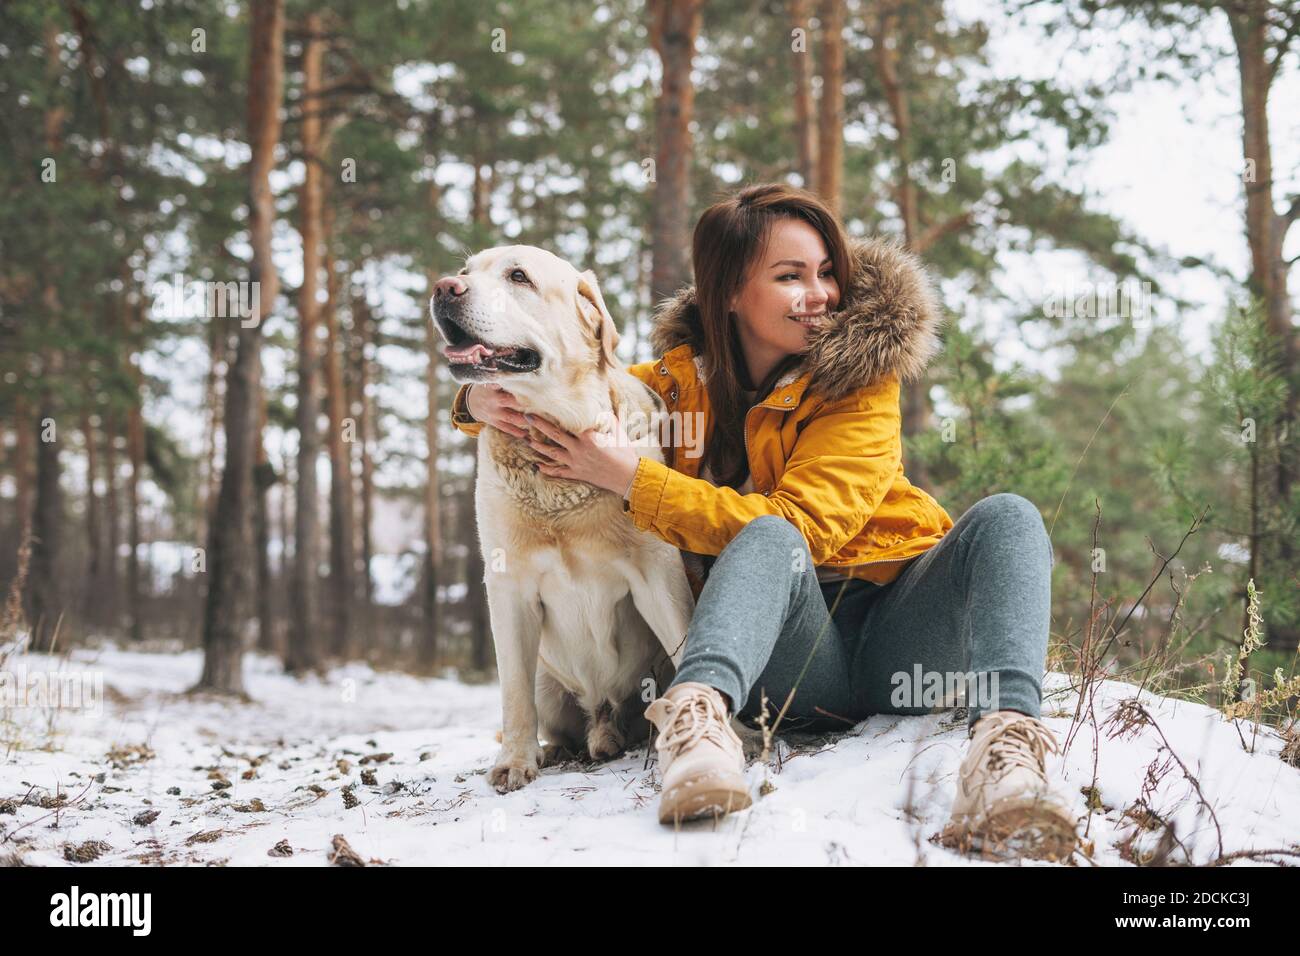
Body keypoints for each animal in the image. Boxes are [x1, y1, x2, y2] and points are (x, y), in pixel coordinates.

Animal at [431, 247, 696, 790]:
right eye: (465, 273)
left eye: (518, 276)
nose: (444, 288)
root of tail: (603, 713)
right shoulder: (508, 585)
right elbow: (512, 694)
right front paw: (515, 762)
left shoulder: (657, 572)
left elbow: (687, 646)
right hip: (549, 682)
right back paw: (557, 748)